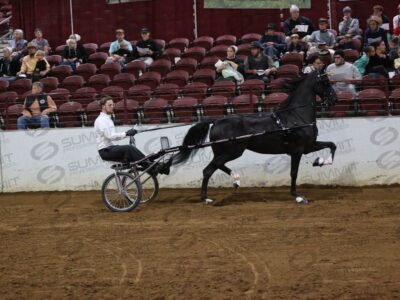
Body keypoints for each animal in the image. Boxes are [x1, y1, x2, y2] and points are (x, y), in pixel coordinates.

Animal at [173, 70, 338, 204]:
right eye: (325, 82)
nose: (335, 99)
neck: (296, 117)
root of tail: (216, 121)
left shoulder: (308, 146)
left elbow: (332, 144)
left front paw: (320, 161)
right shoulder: (297, 151)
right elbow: (294, 173)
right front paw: (298, 196)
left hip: (224, 152)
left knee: (216, 166)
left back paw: (236, 180)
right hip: (231, 152)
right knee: (208, 170)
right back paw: (206, 198)